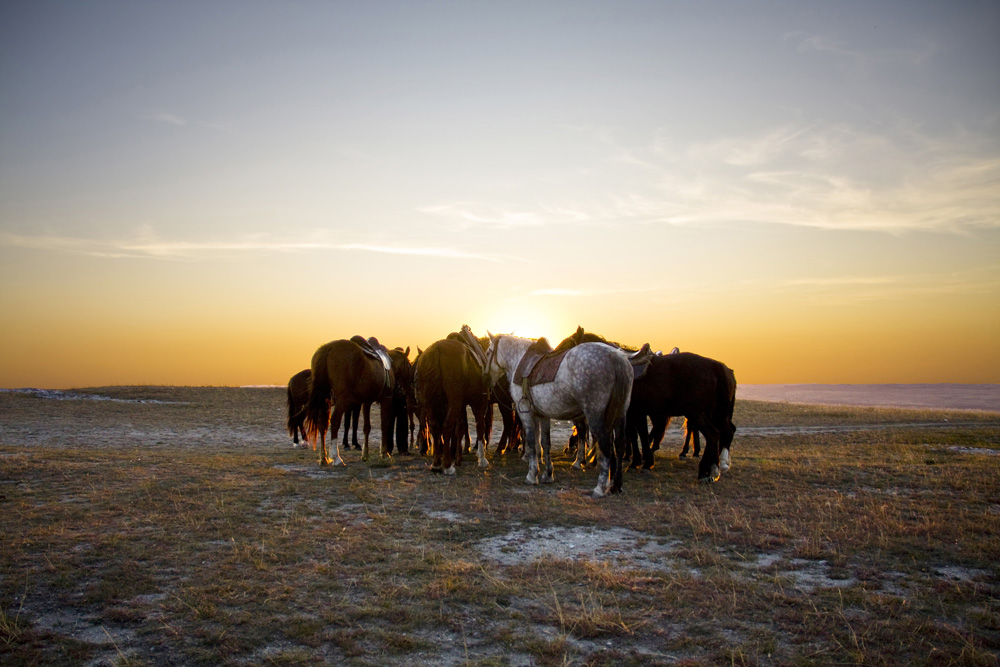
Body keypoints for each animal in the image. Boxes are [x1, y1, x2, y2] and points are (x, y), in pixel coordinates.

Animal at [414, 340, 492, 474]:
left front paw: (458, 458)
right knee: (447, 426)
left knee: (435, 426)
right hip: (454, 400)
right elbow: (479, 427)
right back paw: (447, 466)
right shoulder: (479, 403)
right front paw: (482, 459)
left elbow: (460, 428)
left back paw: (436, 464)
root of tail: (437, 349)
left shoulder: (460, 405)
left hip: (432, 402)